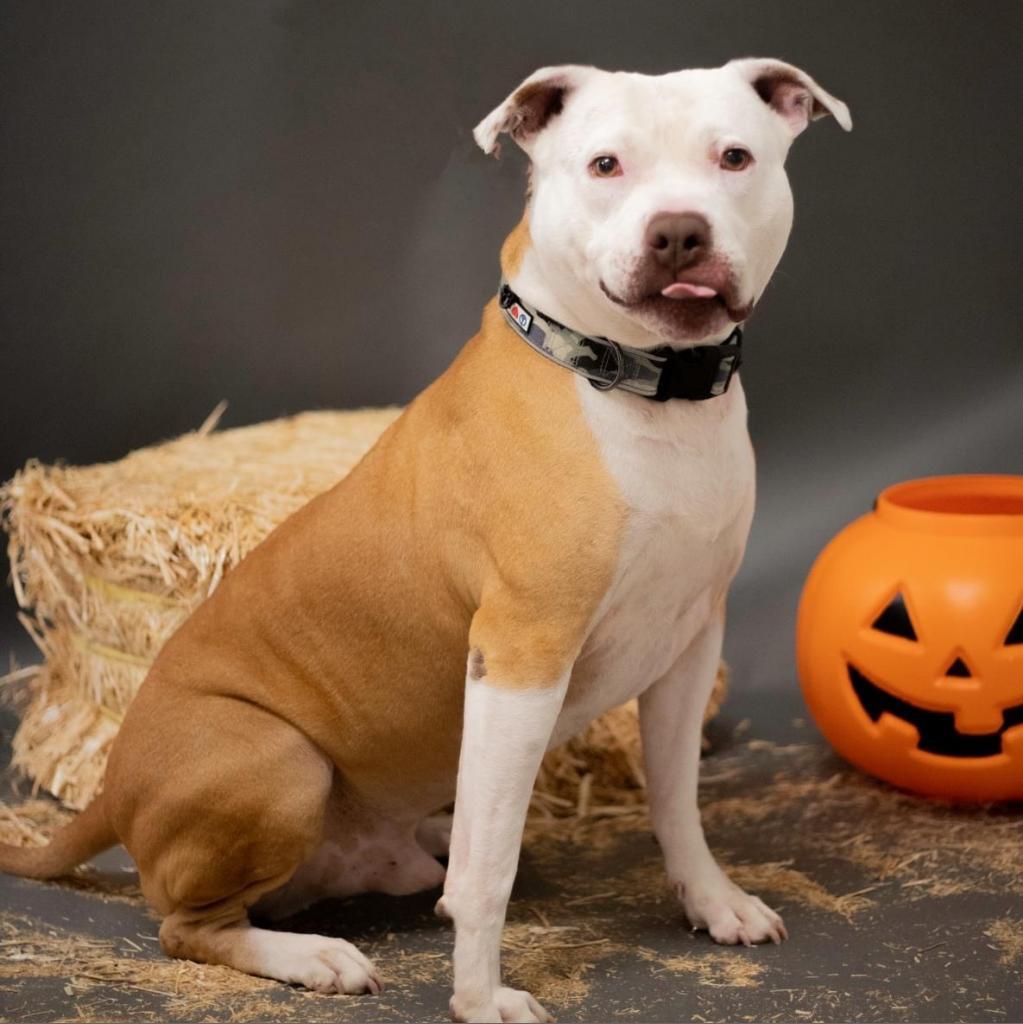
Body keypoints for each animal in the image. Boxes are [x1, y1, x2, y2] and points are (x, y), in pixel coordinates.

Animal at [0, 58, 847, 1024]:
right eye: (604, 165)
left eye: (734, 157)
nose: (677, 232)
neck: (639, 392)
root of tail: (109, 789)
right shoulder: (519, 656)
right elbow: (488, 874)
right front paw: (479, 998)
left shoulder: (686, 645)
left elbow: (676, 802)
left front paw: (710, 901)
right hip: (275, 758)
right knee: (186, 924)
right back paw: (311, 956)